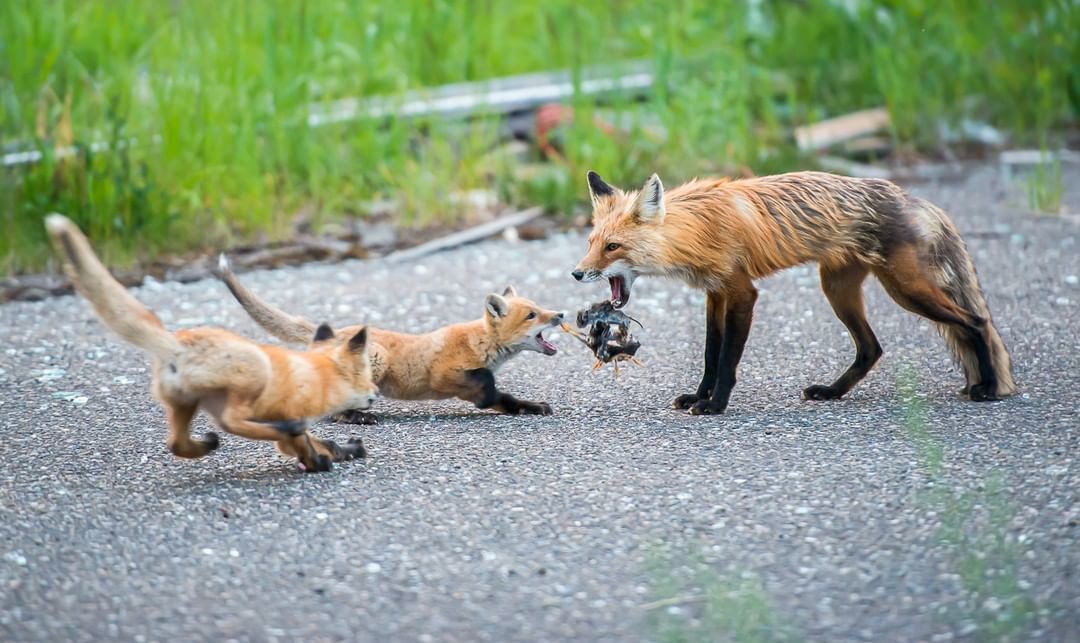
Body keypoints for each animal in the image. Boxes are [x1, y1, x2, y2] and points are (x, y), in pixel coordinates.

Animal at [44, 213, 375, 471]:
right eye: (365, 377)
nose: (374, 393)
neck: (321, 374)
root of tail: (177, 342)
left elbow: (313, 442)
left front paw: (335, 452)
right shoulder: (294, 411)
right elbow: (300, 440)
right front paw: (319, 458)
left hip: (185, 403)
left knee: (177, 442)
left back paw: (204, 445)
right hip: (249, 378)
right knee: (232, 421)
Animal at [570, 170, 1015, 414]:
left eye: (613, 247)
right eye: (591, 242)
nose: (576, 272)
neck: (699, 227)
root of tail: (912, 198)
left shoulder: (741, 292)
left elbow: (727, 360)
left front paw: (715, 405)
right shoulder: (715, 293)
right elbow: (710, 356)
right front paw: (699, 396)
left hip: (906, 290)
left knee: (976, 321)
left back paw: (988, 387)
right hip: (838, 289)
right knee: (871, 348)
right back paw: (832, 392)